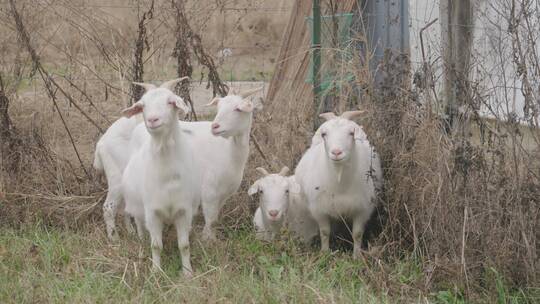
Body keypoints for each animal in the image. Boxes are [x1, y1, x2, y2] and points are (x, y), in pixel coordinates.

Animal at [120, 77, 200, 276]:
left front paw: (187, 272)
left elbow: (184, 245)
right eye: (142, 105)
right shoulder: (152, 212)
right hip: (137, 209)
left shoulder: (183, 211)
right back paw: (141, 250)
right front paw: (156, 272)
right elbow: (156, 246)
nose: (152, 119)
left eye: (170, 102)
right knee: (141, 231)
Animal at [294, 110, 382, 258]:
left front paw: (357, 257)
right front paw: (324, 253)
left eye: (351, 133)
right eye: (324, 134)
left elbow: (357, 234)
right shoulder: (319, 209)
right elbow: (325, 232)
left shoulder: (363, 209)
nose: (336, 152)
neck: (340, 184)